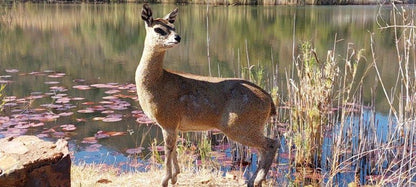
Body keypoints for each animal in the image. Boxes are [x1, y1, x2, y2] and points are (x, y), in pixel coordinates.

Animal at [136, 3, 280, 186]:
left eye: (173, 27)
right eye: (159, 29)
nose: (178, 37)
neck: (157, 83)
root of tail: (270, 101)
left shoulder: (168, 119)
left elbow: (168, 150)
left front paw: (165, 180)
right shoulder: (174, 125)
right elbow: (174, 149)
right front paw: (175, 176)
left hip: (240, 125)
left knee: (271, 144)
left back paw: (255, 180)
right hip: (251, 126)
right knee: (264, 148)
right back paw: (253, 180)